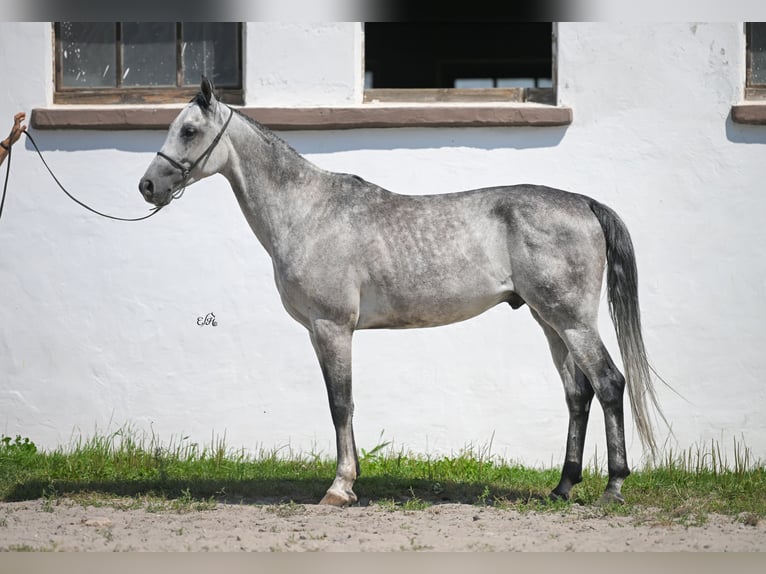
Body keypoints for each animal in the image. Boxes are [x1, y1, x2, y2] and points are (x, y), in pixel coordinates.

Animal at [141, 79, 668, 506]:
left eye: (189, 131)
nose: (148, 185)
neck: (308, 211)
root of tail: (583, 203)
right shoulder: (321, 332)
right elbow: (345, 403)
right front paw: (352, 481)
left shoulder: (332, 327)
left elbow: (340, 403)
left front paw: (339, 488)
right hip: (549, 321)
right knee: (578, 394)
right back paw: (562, 487)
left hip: (573, 321)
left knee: (609, 383)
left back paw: (613, 487)